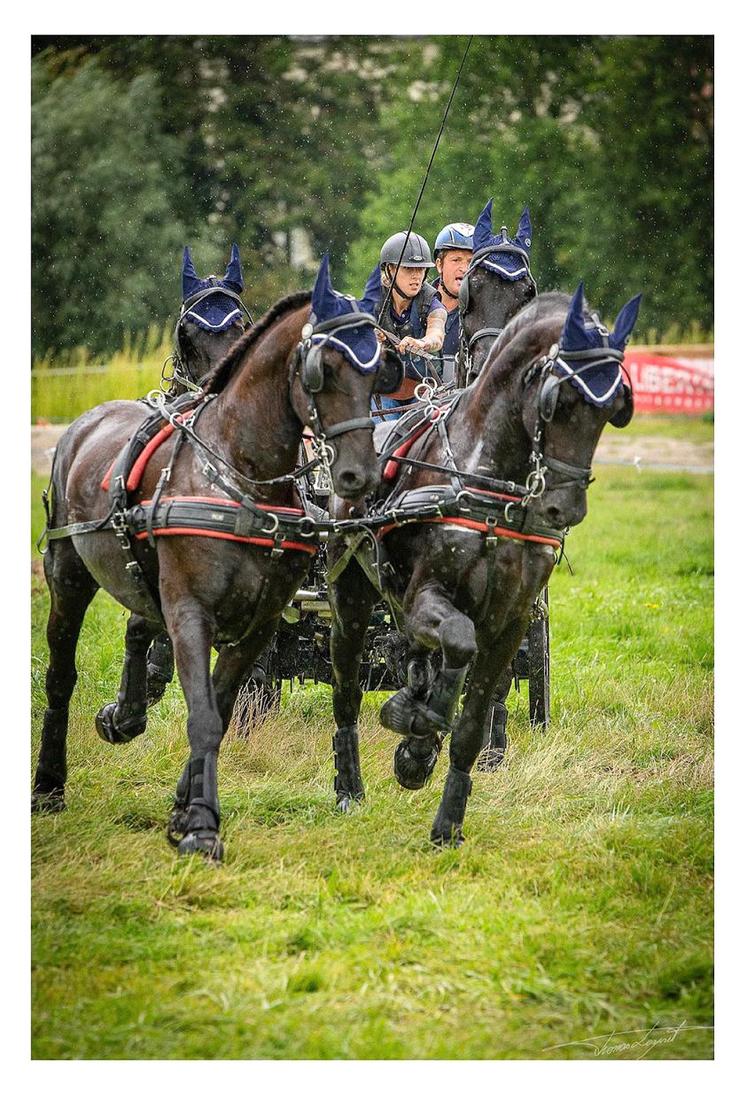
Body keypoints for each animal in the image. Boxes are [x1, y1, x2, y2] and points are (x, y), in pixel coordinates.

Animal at [32, 258, 400, 863]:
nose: (359, 475)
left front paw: (186, 810)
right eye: (322, 370)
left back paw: (124, 716)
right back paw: (48, 786)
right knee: (61, 676)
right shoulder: (190, 613)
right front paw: (202, 827)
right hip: (67, 575)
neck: (239, 473)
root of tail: (88, 422)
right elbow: (203, 714)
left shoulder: (260, 623)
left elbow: (222, 712)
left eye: (380, 371)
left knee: (138, 624)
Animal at [326, 280, 639, 837]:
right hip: (350, 597)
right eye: (558, 401)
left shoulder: (510, 621)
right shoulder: (428, 595)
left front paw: (445, 819)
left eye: (612, 409)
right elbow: (456, 642)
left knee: (420, 655)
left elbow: (472, 720)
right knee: (348, 689)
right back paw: (349, 788)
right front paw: (415, 736)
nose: (563, 508)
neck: (487, 482)